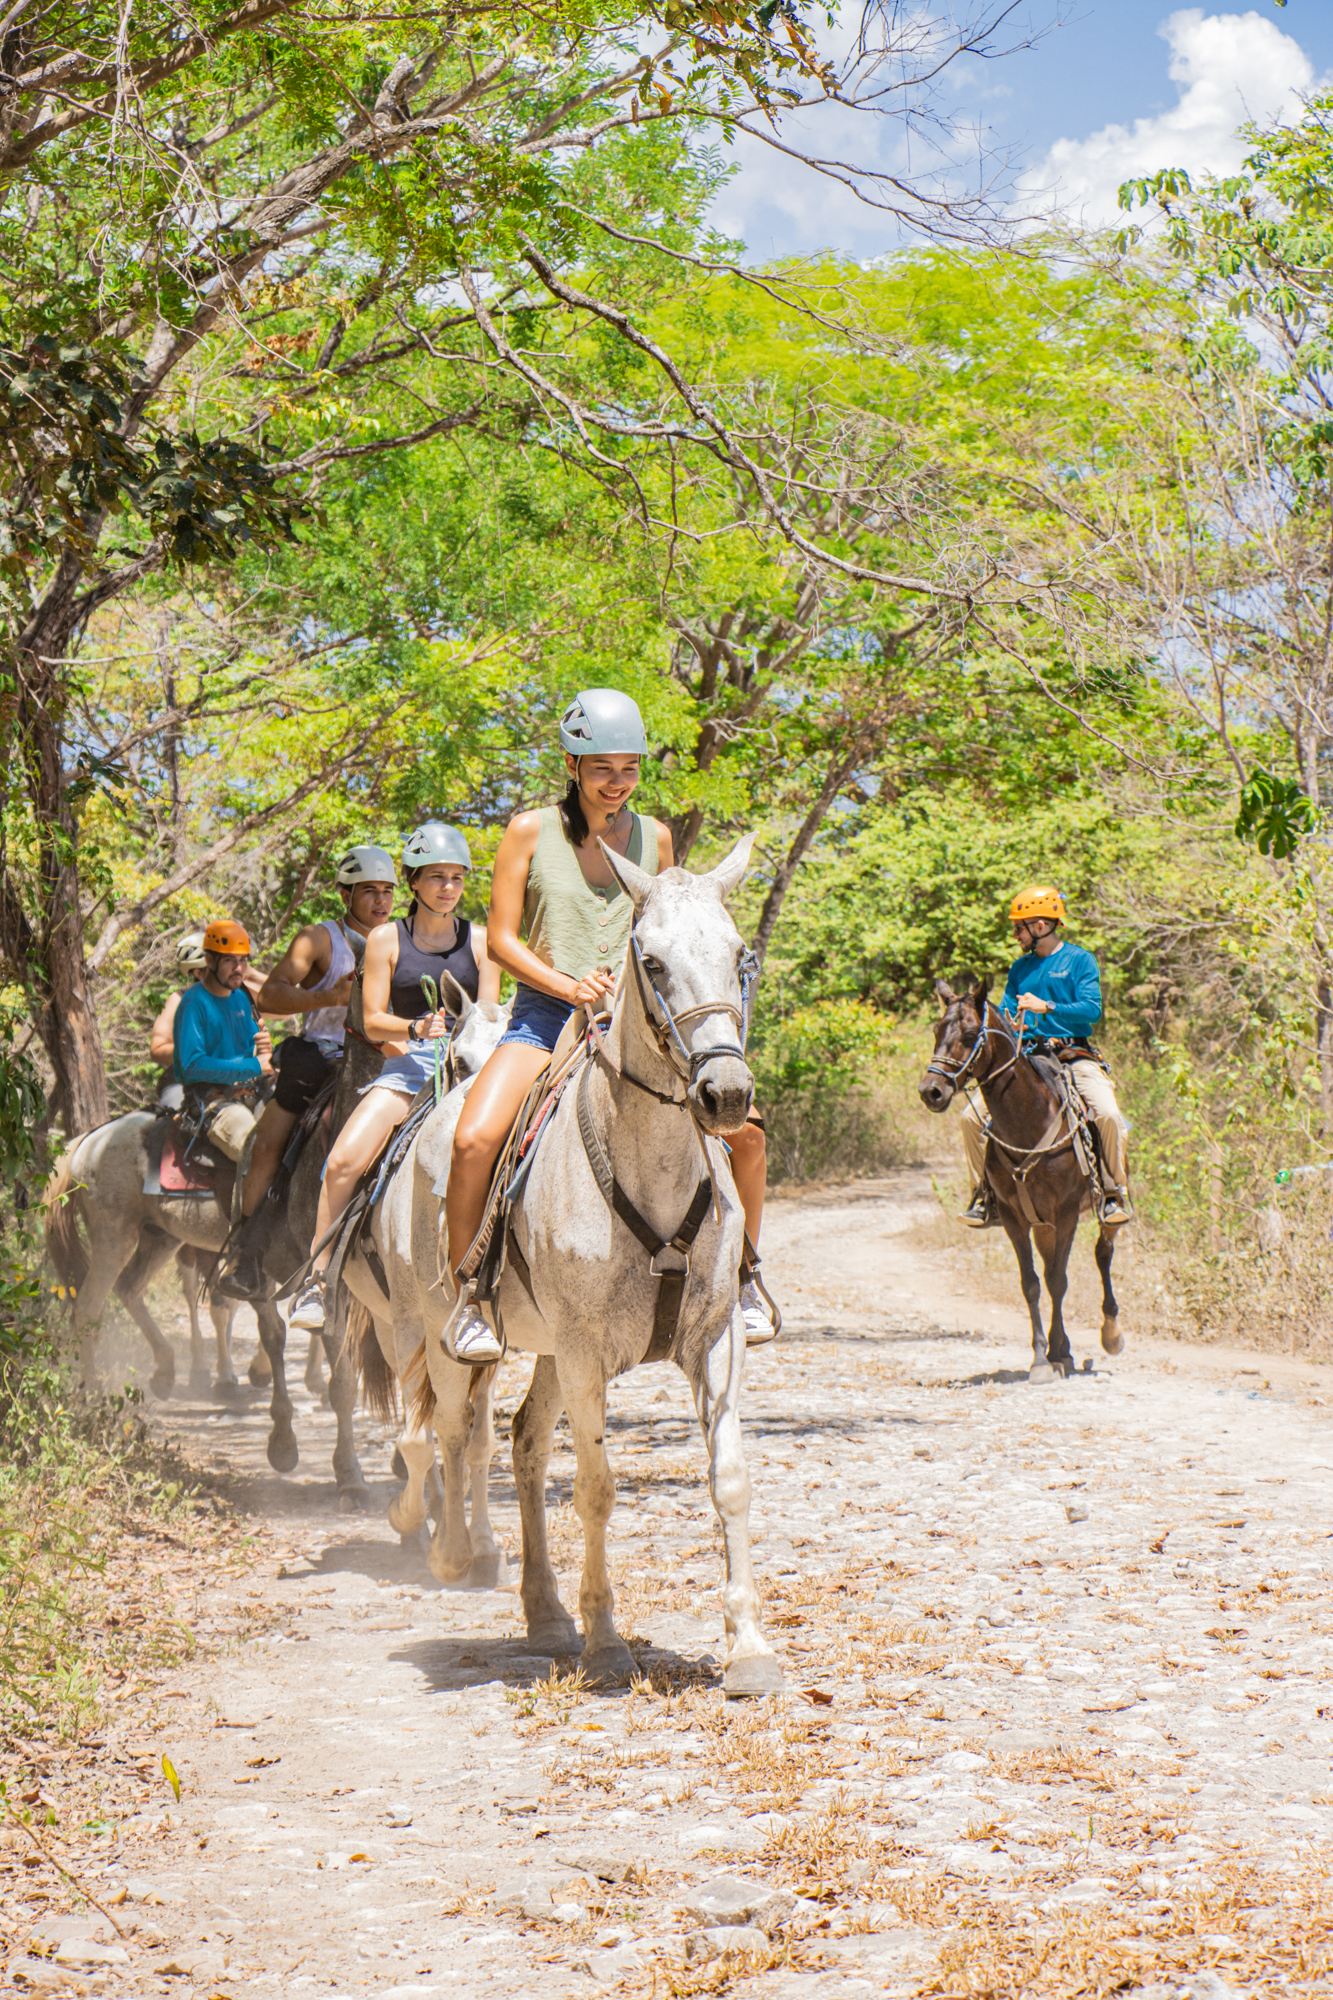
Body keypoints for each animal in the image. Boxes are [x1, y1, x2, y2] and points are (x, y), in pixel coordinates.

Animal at [362, 835, 781, 1693]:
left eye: (738, 956)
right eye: (650, 962)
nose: (725, 1094)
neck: (651, 1167)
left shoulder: (712, 1337)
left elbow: (729, 1478)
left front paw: (748, 1647)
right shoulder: (587, 1352)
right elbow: (594, 1489)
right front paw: (608, 1644)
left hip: (551, 1350)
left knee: (521, 1442)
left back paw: (546, 1612)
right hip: (439, 1330)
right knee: (451, 1432)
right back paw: (456, 1553)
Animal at [918, 977, 1121, 1381]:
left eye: (969, 1034)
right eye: (936, 1031)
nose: (931, 1091)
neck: (1029, 1120)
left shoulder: (1067, 1213)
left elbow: (1058, 1280)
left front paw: (1056, 1356)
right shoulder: (1014, 1216)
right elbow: (1031, 1283)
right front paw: (1044, 1357)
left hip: (1098, 1210)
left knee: (1102, 1255)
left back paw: (1110, 1334)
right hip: (1041, 1224)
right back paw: (1064, 1348)